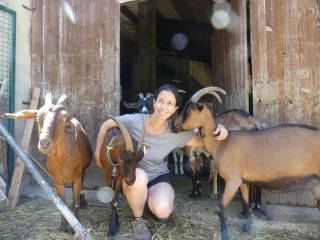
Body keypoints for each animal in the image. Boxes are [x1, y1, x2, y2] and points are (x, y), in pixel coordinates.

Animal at [5, 94, 92, 232]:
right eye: (37, 117)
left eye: (63, 119)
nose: (44, 142)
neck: (64, 162)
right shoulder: (57, 181)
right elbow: (63, 203)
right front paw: (63, 227)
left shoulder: (76, 178)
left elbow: (76, 202)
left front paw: (75, 226)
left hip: (81, 171)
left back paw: (83, 202)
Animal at [172, 86, 320, 240]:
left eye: (190, 110)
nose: (173, 125)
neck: (221, 144)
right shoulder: (242, 181)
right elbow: (245, 202)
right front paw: (247, 226)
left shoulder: (232, 180)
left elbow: (218, 207)